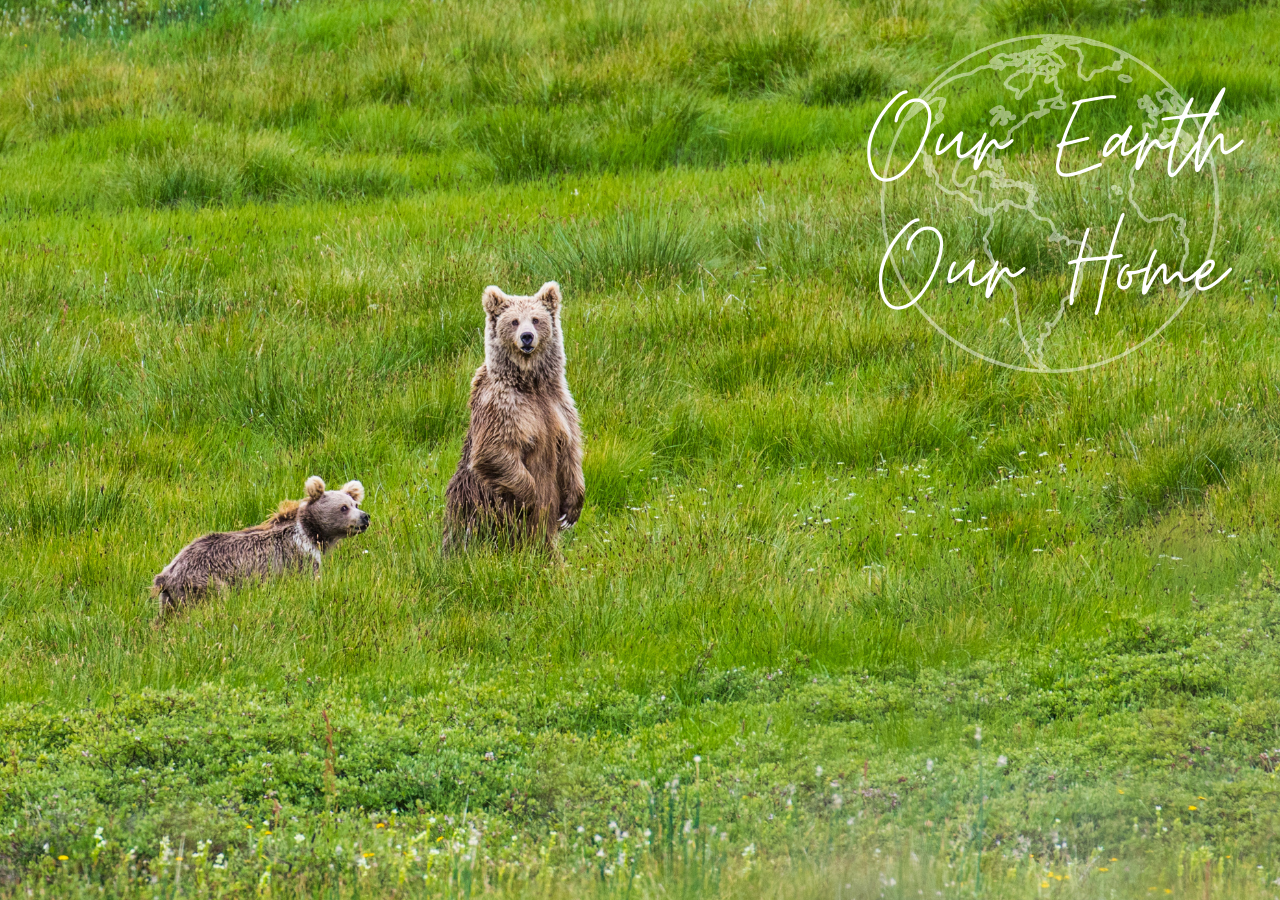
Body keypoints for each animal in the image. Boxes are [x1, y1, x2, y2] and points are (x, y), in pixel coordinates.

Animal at [152, 478, 371, 611]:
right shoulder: (298, 557)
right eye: (344, 507)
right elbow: (308, 580)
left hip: (171, 598)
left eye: (355, 504)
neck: (311, 533)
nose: (365, 517)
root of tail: (168, 573)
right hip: (205, 582)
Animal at [440, 281, 581, 553]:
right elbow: (494, 451)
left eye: (536, 319)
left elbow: (571, 447)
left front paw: (572, 508)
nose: (527, 337)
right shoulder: (502, 407)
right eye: (514, 321)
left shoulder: (559, 403)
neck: (530, 384)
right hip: (478, 508)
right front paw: (530, 498)